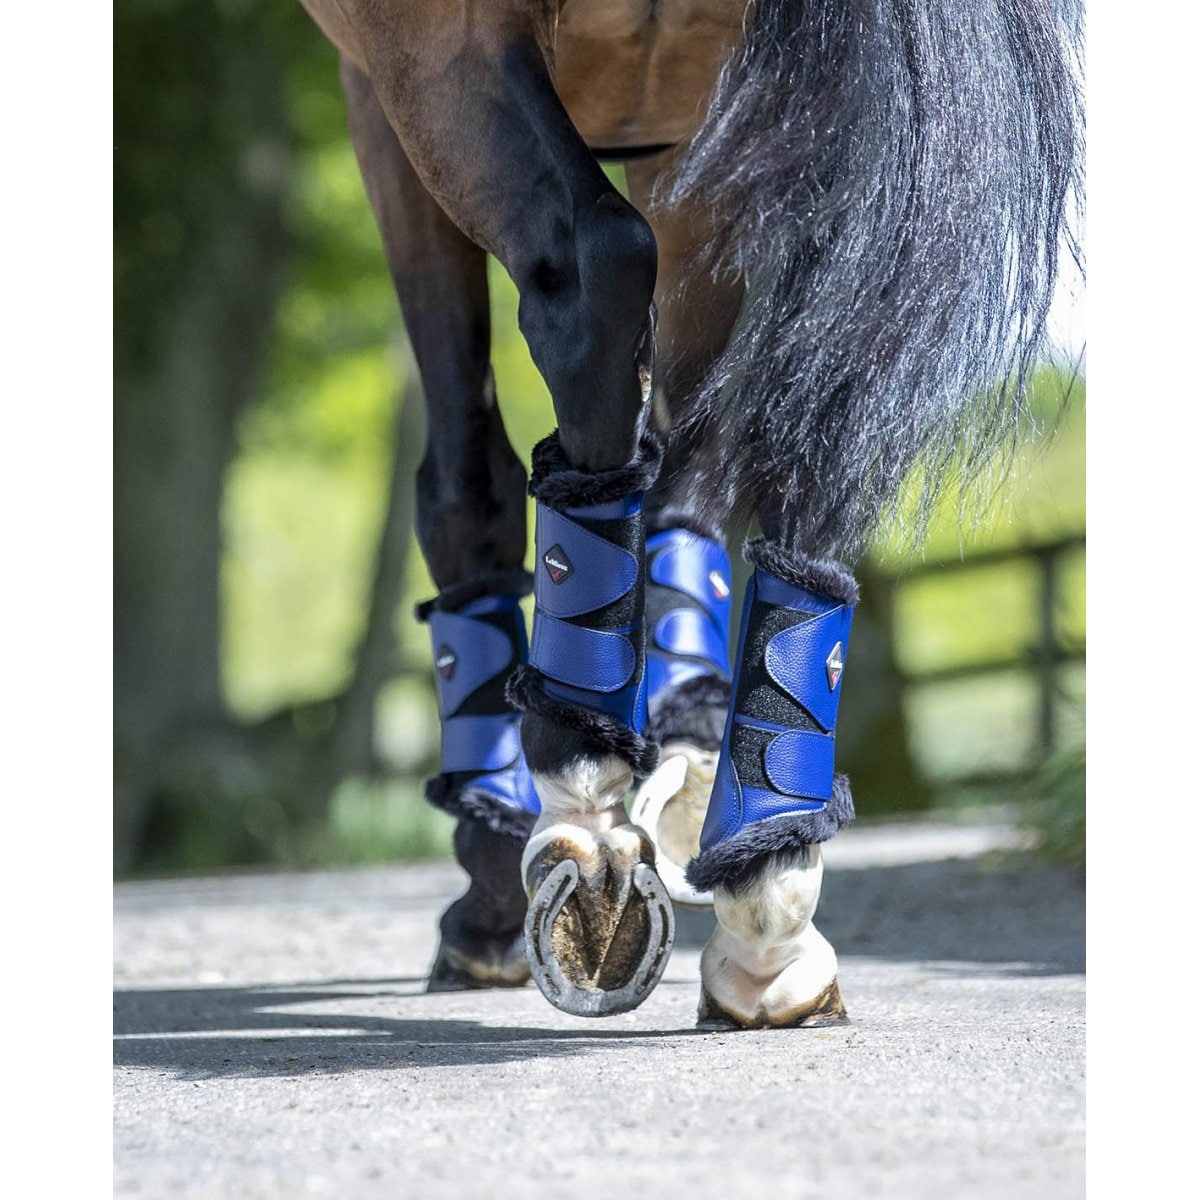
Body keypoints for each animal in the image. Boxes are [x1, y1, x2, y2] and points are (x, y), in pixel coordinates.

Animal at [295, 0, 1081, 1026]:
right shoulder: (687, 126)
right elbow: (686, 461)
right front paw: (688, 735)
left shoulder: (380, 103)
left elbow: (467, 480)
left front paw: (494, 877)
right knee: (823, 370)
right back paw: (767, 893)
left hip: (440, 61)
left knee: (590, 272)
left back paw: (584, 817)